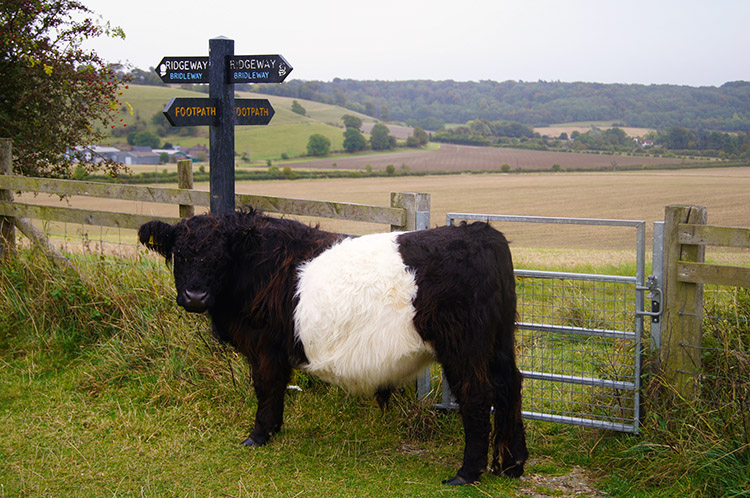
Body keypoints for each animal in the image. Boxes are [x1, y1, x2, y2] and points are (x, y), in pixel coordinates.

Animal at [141, 208, 528, 484]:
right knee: (510, 386)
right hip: (498, 342)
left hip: (464, 346)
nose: (195, 296)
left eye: (220, 257)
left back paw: (467, 473)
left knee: (477, 396)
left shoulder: (264, 347)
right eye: (179, 254)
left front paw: (258, 435)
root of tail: (478, 231)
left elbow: (266, 387)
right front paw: (274, 430)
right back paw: (511, 465)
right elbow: (275, 389)